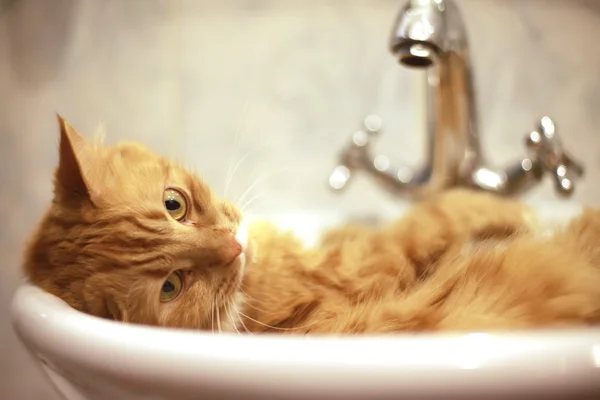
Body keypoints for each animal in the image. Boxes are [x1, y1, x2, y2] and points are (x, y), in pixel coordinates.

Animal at [22, 116, 600, 334]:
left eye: (174, 204)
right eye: (171, 286)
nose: (232, 247)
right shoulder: (356, 265)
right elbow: (433, 216)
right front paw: (504, 211)